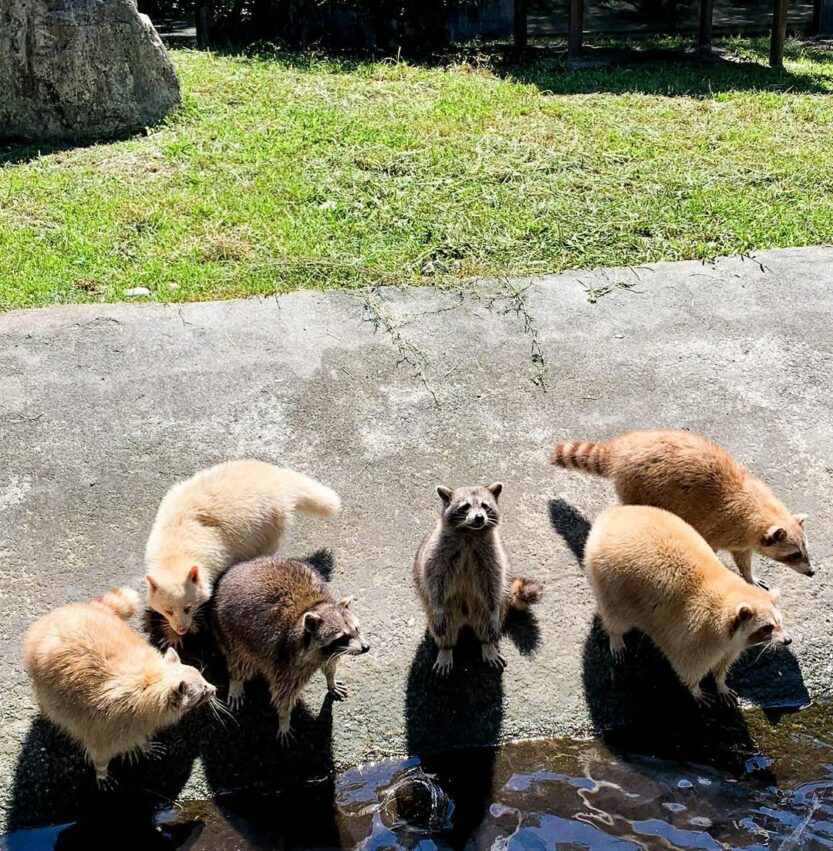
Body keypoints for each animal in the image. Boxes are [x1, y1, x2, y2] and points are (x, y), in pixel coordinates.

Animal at [213, 556, 368, 744]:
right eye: (343, 637)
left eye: (357, 629)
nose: (366, 647)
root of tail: (233, 570)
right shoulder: (284, 662)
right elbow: (283, 694)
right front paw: (284, 719)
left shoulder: (330, 654)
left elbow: (330, 667)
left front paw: (330, 679)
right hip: (230, 630)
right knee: (239, 658)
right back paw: (236, 679)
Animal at [412, 482, 544, 676]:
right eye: (465, 506)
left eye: (485, 506)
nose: (479, 518)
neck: (469, 534)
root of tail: (466, 618)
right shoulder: (436, 553)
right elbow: (434, 581)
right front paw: (438, 608)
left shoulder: (493, 556)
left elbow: (494, 583)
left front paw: (492, 620)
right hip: (443, 611)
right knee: (444, 627)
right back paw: (446, 648)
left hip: (486, 608)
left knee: (488, 622)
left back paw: (488, 645)